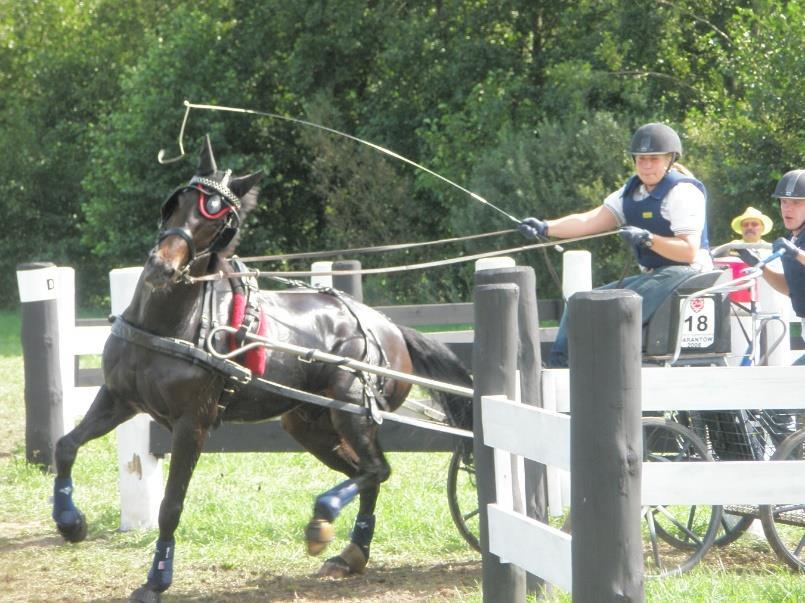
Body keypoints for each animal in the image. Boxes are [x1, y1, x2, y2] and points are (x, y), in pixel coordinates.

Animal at [51, 137, 472, 603]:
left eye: (218, 221)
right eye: (177, 203)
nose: (160, 267)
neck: (170, 324)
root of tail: (390, 327)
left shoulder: (191, 424)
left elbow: (171, 505)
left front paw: (156, 579)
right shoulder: (119, 398)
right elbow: (65, 446)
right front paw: (70, 522)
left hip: (351, 411)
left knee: (377, 469)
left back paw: (323, 519)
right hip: (308, 424)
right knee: (365, 473)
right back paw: (350, 553)